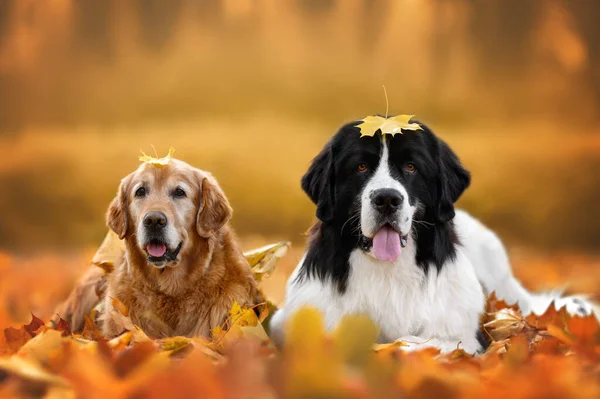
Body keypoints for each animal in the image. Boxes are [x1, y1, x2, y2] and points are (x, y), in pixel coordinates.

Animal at [272, 121, 596, 354]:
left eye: (411, 167)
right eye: (360, 167)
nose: (387, 199)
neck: (387, 270)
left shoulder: (464, 335)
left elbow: (417, 343)